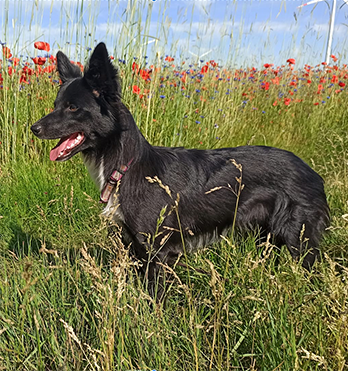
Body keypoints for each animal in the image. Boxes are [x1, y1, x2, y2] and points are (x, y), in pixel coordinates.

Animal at [31, 42, 330, 300]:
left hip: (298, 239)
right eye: (56, 105)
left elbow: (155, 297)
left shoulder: (158, 250)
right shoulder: (136, 246)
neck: (128, 166)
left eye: (73, 107)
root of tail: (312, 173)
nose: (33, 128)